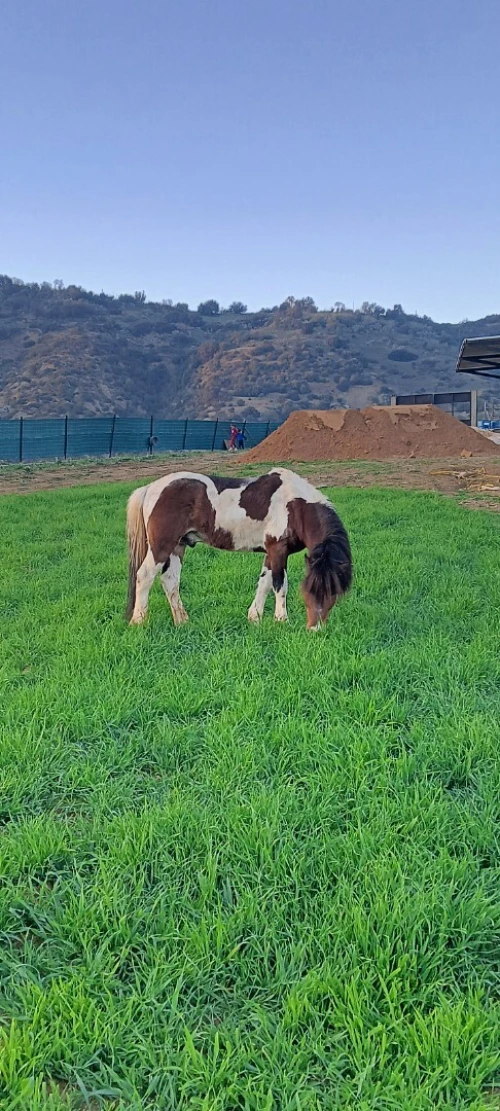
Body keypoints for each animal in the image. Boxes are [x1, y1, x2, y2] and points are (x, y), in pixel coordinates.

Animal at [125, 467, 352, 630]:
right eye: (310, 589)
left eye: (333, 592)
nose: (315, 629)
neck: (295, 505)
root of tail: (150, 488)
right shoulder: (278, 549)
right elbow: (280, 585)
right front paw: (281, 620)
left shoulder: (271, 552)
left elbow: (264, 582)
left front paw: (255, 618)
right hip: (161, 546)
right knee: (145, 576)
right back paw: (138, 622)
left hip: (178, 546)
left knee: (170, 580)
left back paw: (182, 622)